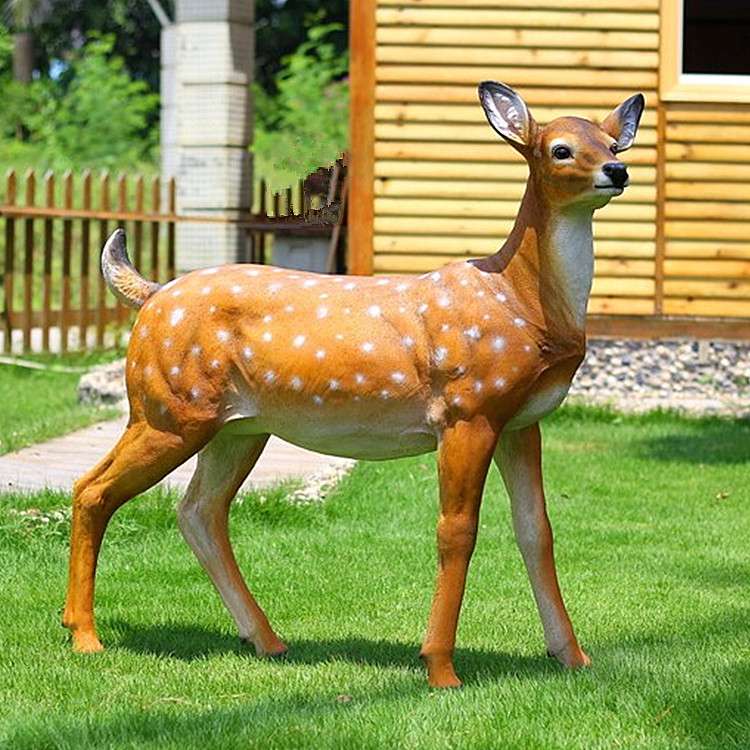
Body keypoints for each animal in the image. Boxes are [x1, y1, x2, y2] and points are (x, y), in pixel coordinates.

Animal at [63, 81, 644, 689]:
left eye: (611, 141)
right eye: (560, 149)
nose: (617, 170)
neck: (523, 304)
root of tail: (151, 296)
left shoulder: (521, 422)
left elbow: (538, 531)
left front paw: (573, 657)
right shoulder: (468, 409)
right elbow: (457, 531)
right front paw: (440, 668)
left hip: (237, 427)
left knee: (199, 511)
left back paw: (266, 639)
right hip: (167, 407)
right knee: (93, 490)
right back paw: (84, 635)